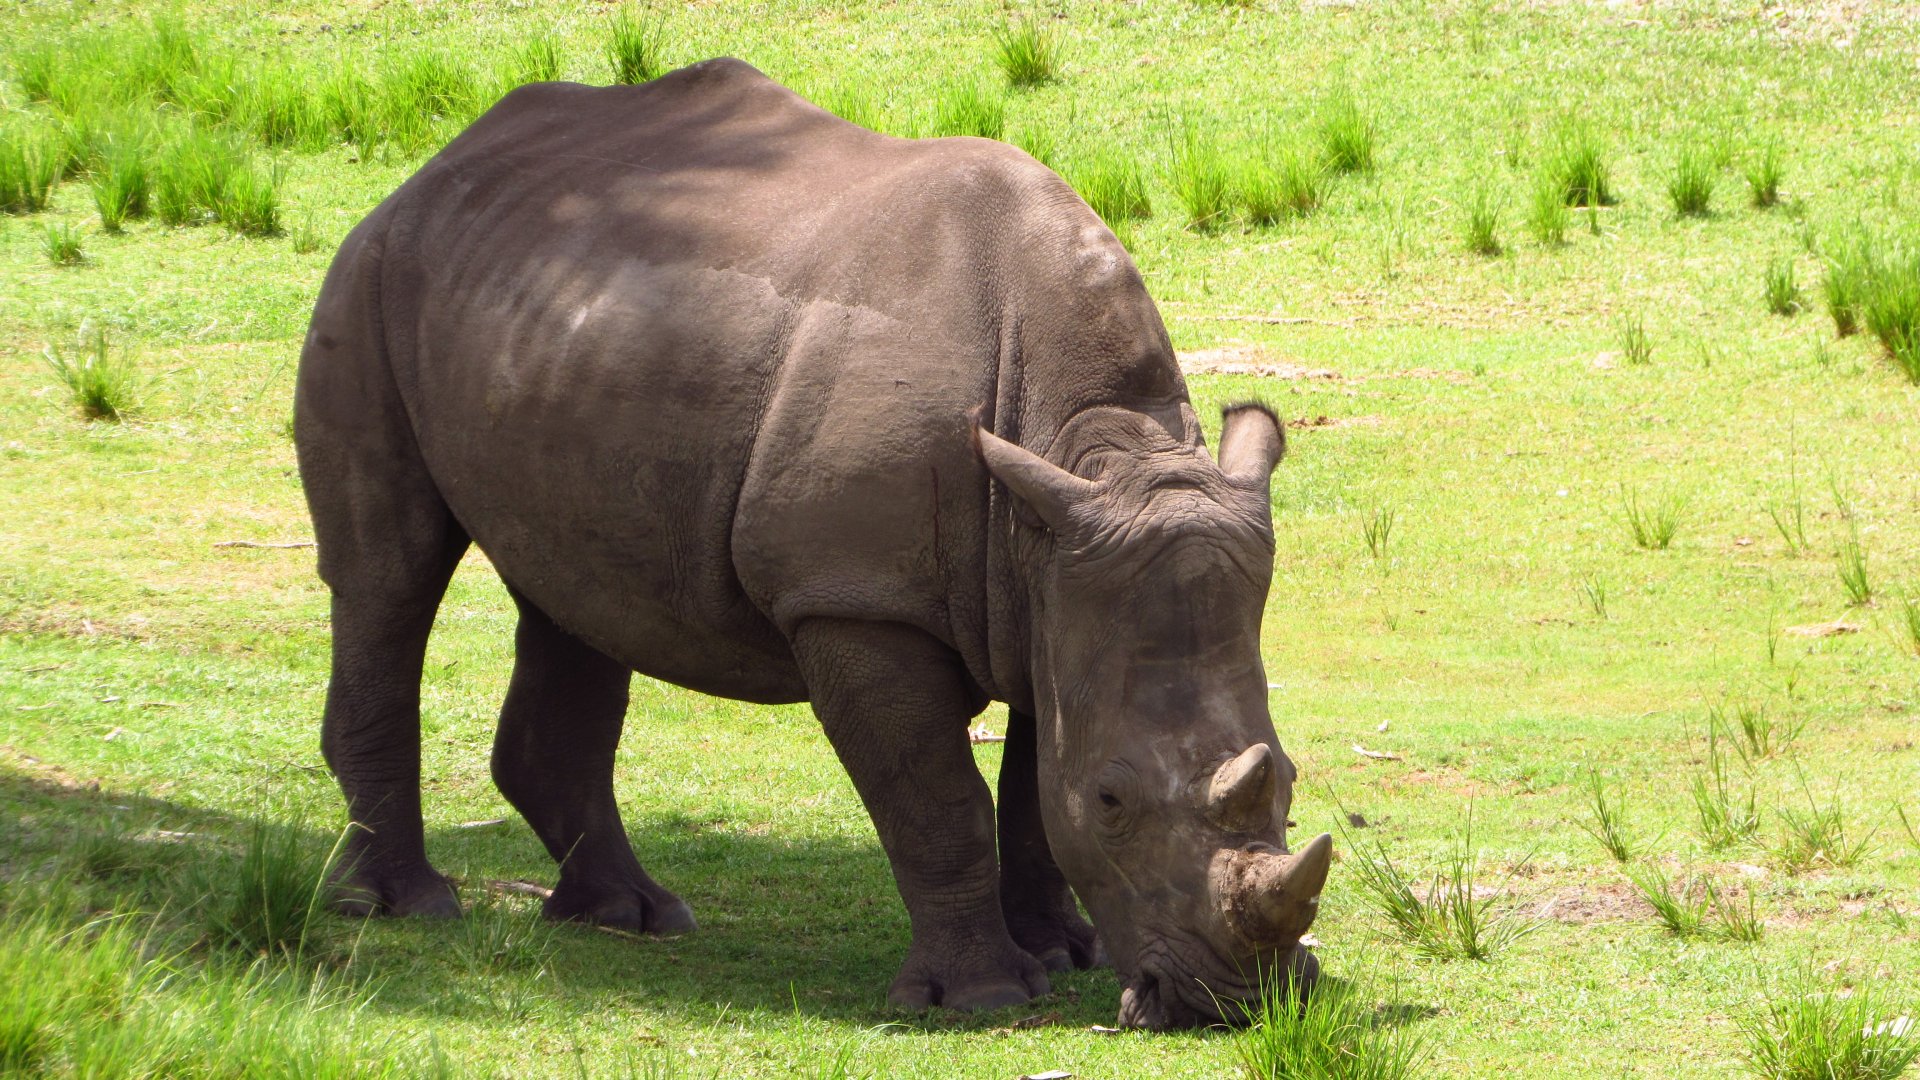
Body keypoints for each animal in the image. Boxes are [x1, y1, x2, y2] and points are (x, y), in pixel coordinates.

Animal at [294, 57, 1331, 1029]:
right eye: (1117, 802)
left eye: (1287, 780)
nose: (1235, 1001)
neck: (1104, 448)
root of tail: (437, 167)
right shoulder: (857, 598)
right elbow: (940, 800)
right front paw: (986, 994)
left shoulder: (1057, 575)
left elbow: (1038, 788)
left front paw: (1064, 951)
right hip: (370, 277)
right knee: (389, 577)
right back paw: (404, 906)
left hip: (551, 320)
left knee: (575, 594)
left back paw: (630, 916)